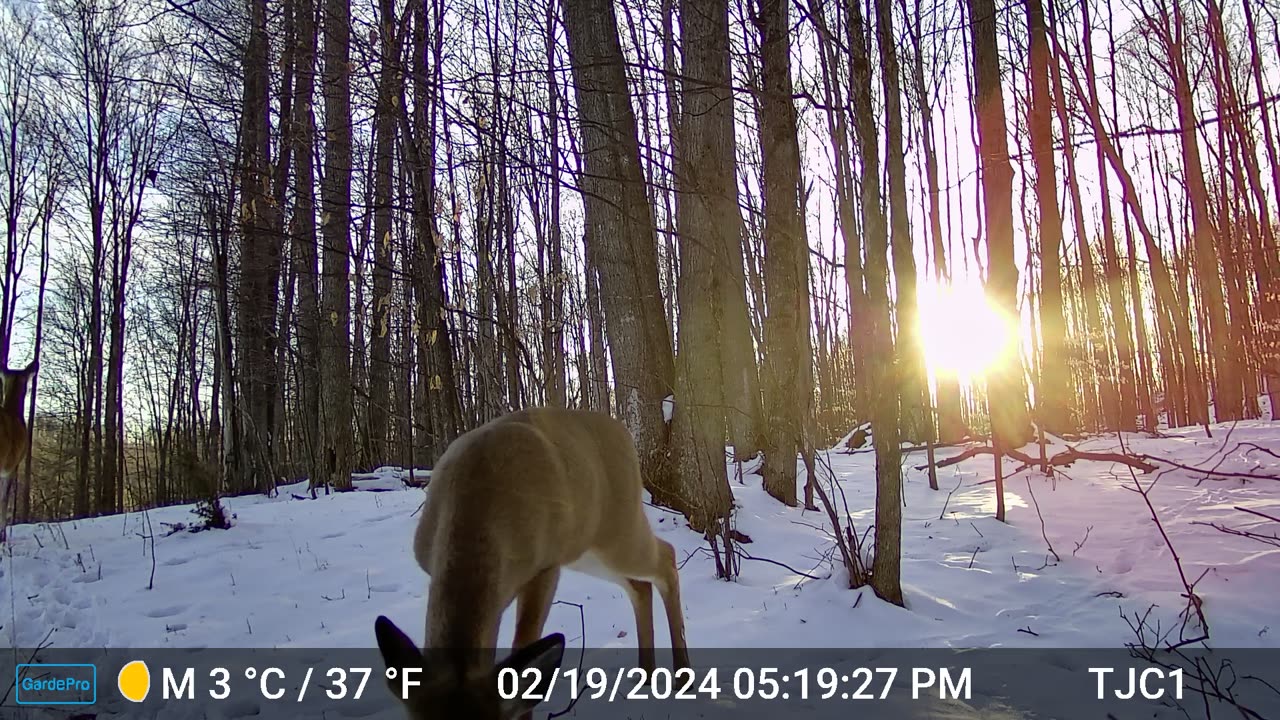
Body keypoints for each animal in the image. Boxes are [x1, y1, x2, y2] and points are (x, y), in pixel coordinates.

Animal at [373, 407, 691, 717]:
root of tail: (623, 431)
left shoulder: (546, 564)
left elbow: (523, 652)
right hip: (588, 551)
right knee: (640, 586)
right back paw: (645, 676)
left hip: (619, 532)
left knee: (666, 557)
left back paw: (682, 676)